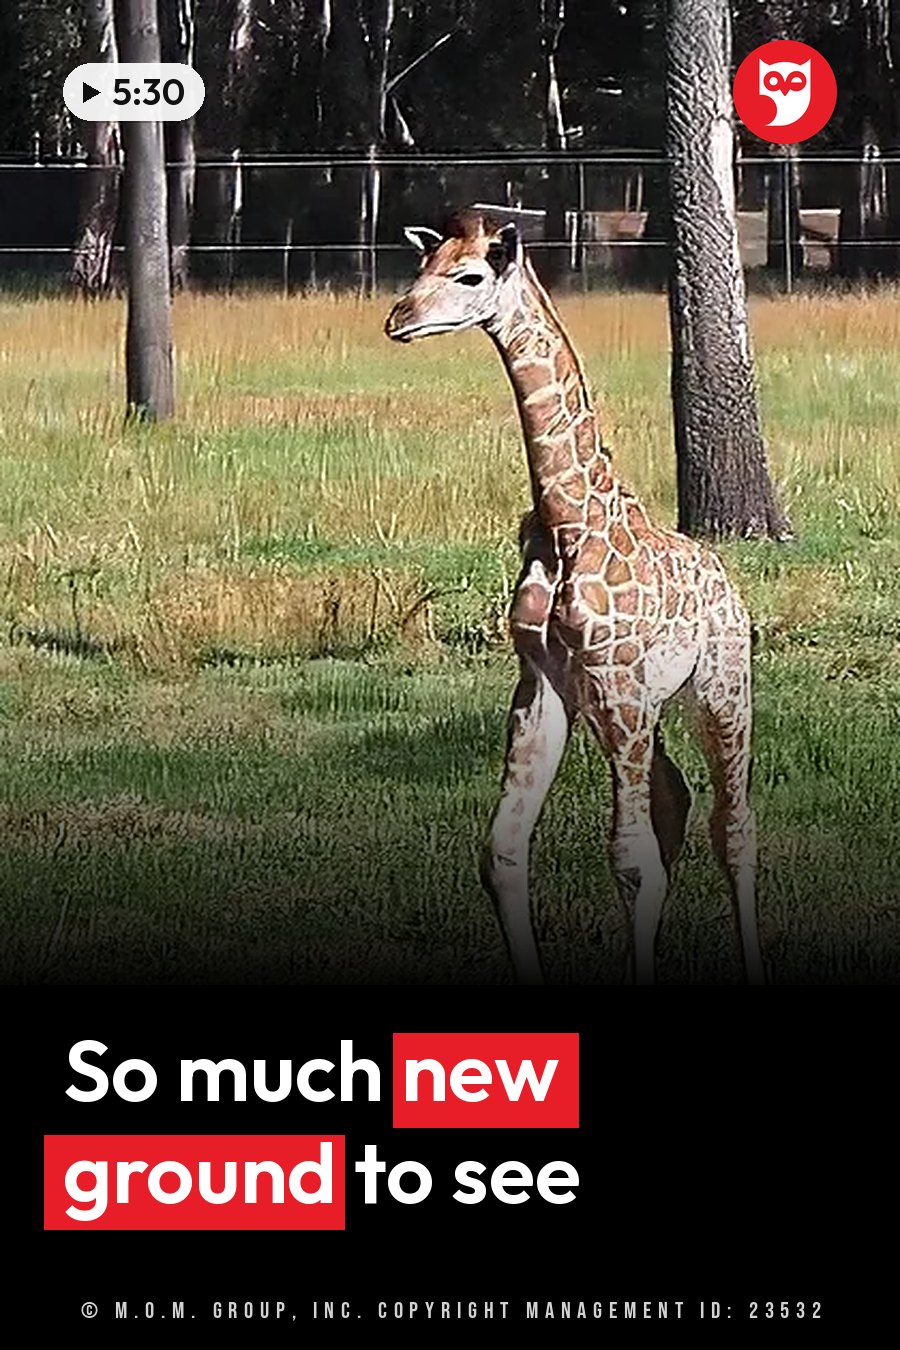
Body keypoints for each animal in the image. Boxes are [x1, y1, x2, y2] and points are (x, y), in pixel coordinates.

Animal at [384, 209, 764, 987]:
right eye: (422, 265)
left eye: (470, 275)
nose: (399, 319)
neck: (566, 521)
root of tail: (726, 580)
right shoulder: (547, 681)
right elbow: (502, 851)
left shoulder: (617, 682)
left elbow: (631, 861)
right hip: (642, 709)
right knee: (678, 803)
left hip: (721, 685)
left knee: (733, 826)